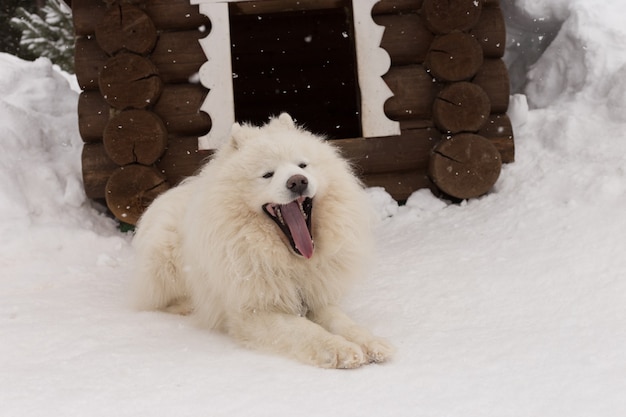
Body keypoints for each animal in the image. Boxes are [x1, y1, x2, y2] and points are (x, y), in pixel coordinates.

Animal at [133, 114, 392, 368]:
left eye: (302, 165)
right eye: (268, 174)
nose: (298, 181)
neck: (291, 263)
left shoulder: (316, 297)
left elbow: (343, 322)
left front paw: (371, 342)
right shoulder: (255, 312)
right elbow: (305, 329)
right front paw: (341, 350)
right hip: (164, 260)